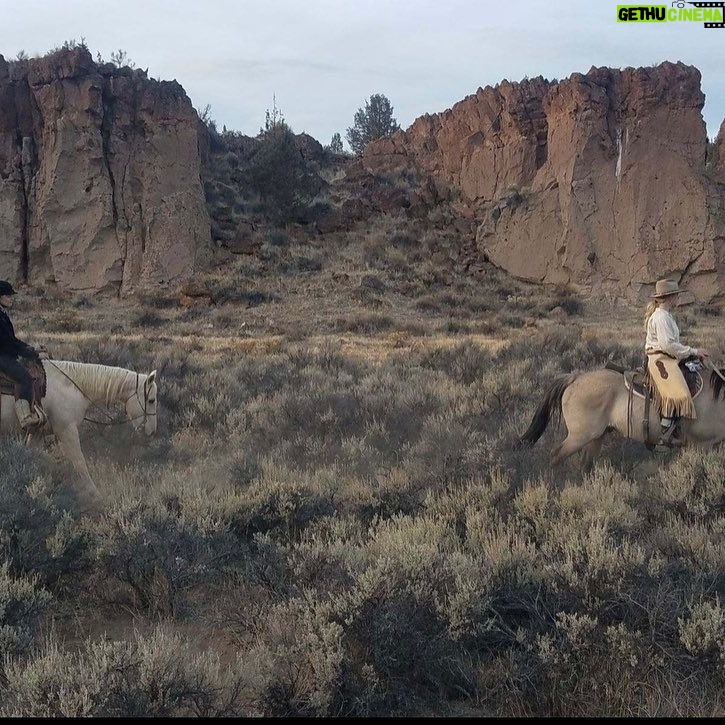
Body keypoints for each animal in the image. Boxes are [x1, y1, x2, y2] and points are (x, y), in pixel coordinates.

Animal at [0, 360, 158, 512]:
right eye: (151, 400)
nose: (152, 431)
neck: (69, 386)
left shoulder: (37, 433)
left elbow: (34, 458)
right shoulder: (67, 430)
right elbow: (80, 463)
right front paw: (96, 496)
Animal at [516, 360, 724, 466]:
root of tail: (575, 378)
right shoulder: (703, 445)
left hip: (596, 437)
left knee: (586, 463)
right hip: (579, 436)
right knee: (556, 456)